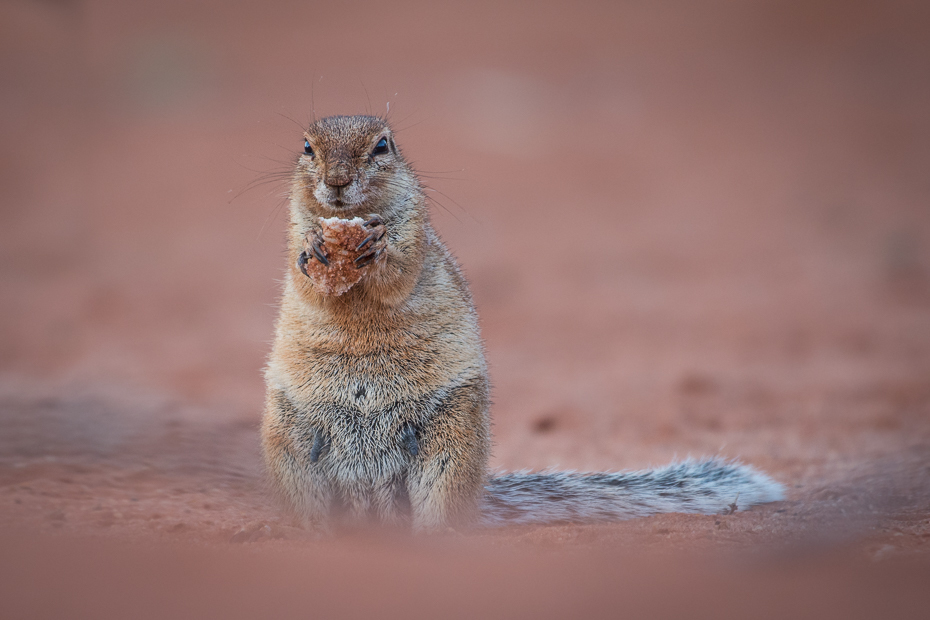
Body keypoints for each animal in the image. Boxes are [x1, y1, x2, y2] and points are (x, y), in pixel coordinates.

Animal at [260, 115, 784, 532]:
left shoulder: (414, 236)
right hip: (290, 444)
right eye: (307, 146)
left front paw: (376, 248)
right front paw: (316, 250)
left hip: (450, 442)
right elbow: (307, 281)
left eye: (382, 145)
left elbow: (400, 274)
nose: (337, 180)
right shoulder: (293, 237)